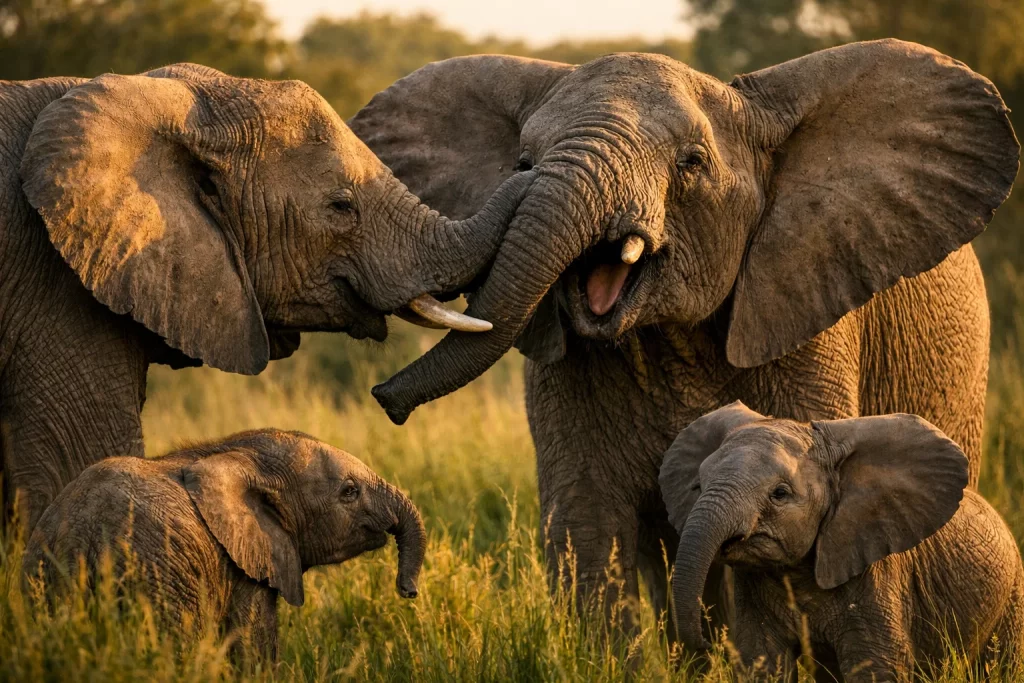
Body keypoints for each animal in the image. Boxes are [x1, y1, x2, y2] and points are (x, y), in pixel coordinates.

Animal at [23, 428, 426, 658]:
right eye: (349, 492)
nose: (409, 591)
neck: (235, 453)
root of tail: (82, 536)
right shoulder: (244, 565)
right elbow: (252, 647)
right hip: (156, 577)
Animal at [659, 402, 1024, 681]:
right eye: (697, 486)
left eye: (780, 494)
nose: (709, 643)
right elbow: (763, 663)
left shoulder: (877, 576)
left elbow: (875, 668)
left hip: (1012, 596)